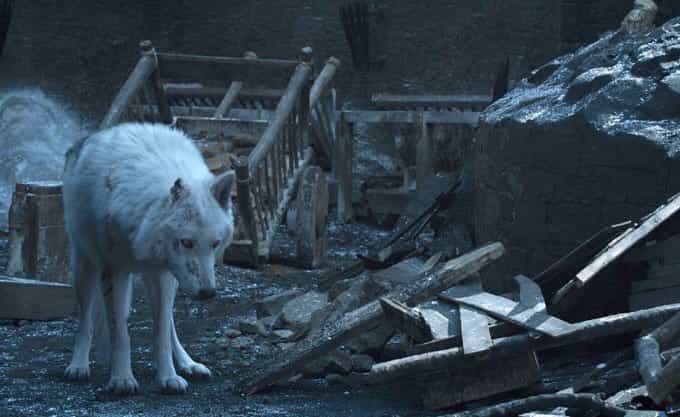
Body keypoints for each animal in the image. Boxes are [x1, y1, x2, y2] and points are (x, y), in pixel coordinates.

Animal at [62, 122, 235, 395]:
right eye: (187, 242)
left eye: (215, 244)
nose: (208, 293)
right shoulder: (114, 272)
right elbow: (120, 333)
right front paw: (122, 380)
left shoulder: (162, 274)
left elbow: (161, 332)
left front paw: (169, 377)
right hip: (85, 266)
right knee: (85, 319)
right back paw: (78, 366)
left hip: (169, 279)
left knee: (169, 322)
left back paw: (188, 364)